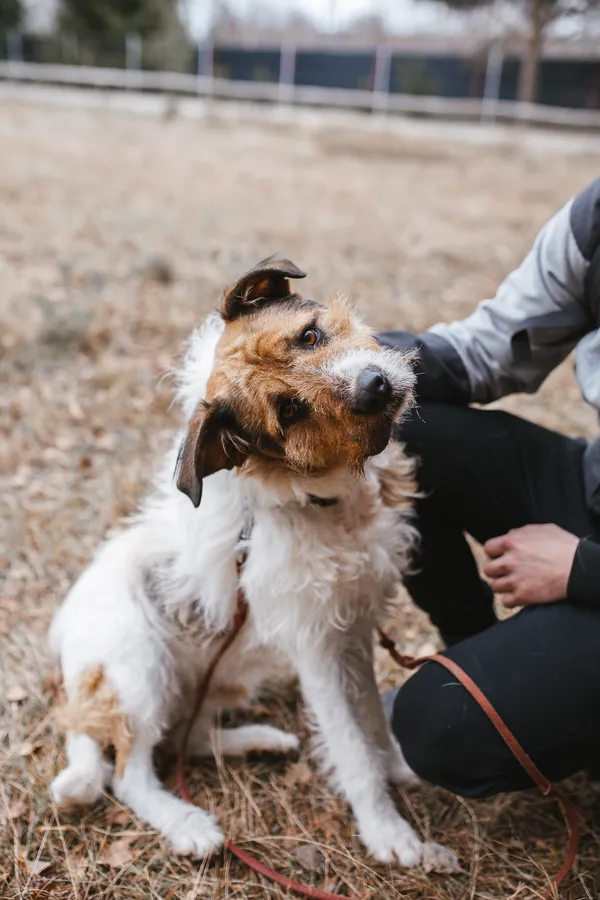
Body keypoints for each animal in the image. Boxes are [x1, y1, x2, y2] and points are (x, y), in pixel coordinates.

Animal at [50, 258, 454, 864]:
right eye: (289, 411)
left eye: (308, 336)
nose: (376, 386)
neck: (324, 503)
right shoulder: (317, 650)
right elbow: (353, 749)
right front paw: (389, 832)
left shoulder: (353, 631)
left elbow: (372, 721)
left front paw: (400, 768)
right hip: (140, 672)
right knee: (129, 774)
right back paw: (188, 825)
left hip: (210, 680)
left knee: (188, 740)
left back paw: (260, 742)